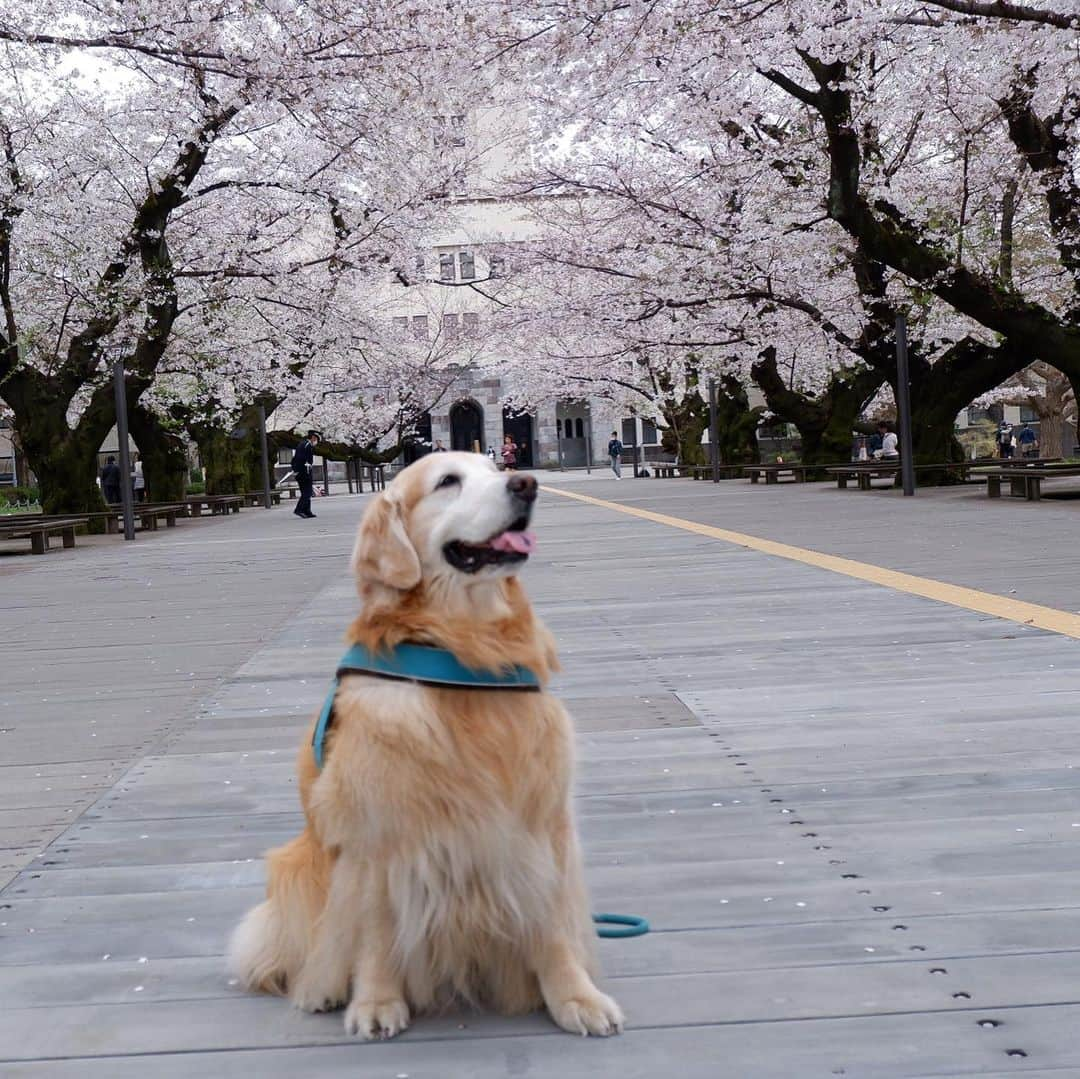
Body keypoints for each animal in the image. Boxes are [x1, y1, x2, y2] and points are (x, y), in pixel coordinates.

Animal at [227, 453, 626, 1036]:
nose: (526, 483)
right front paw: (375, 1002)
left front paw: (576, 998)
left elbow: (552, 924)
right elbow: (374, 930)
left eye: (496, 465)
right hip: (295, 868)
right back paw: (323, 988)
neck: (465, 652)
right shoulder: (376, 836)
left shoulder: (541, 823)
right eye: (447, 481)